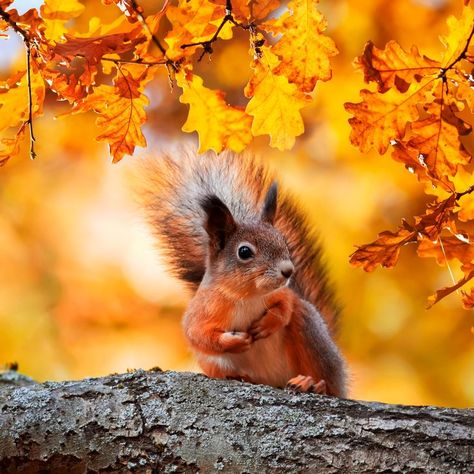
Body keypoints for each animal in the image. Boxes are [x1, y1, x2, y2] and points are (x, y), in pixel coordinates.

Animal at [143, 150, 346, 394]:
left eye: (284, 243)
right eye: (244, 252)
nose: (288, 271)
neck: (246, 296)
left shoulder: (282, 293)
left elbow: (286, 304)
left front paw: (270, 322)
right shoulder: (200, 312)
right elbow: (199, 336)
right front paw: (235, 341)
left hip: (311, 333)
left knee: (328, 381)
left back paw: (313, 384)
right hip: (214, 364)